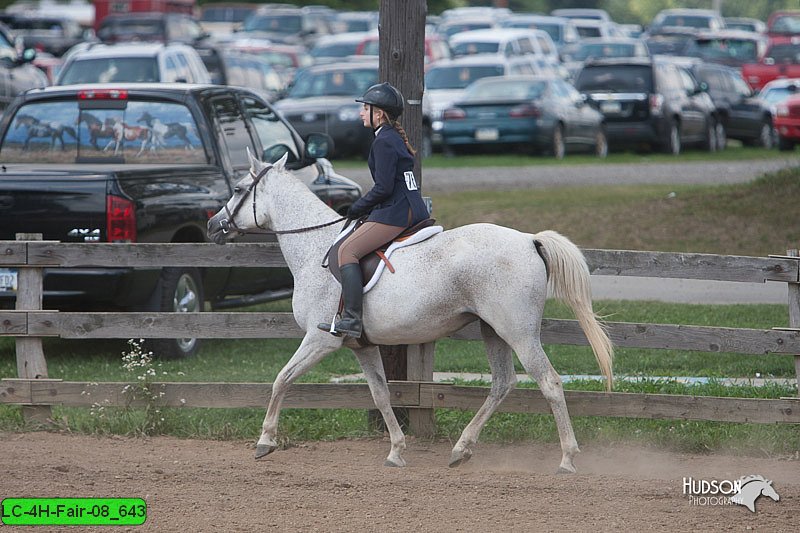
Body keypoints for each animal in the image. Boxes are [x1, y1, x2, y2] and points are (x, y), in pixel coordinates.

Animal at [205, 151, 612, 474]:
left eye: (238, 189)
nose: (212, 225)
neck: (314, 247)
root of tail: (529, 240)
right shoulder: (362, 346)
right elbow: (381, 395)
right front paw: (396, 451)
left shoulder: (320, 341)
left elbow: (281, 379)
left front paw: (265, 441)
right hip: (493, 331)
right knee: (502, 383)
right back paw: (461, 450)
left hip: (519, 333)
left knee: (549, 383)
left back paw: (567, 459)